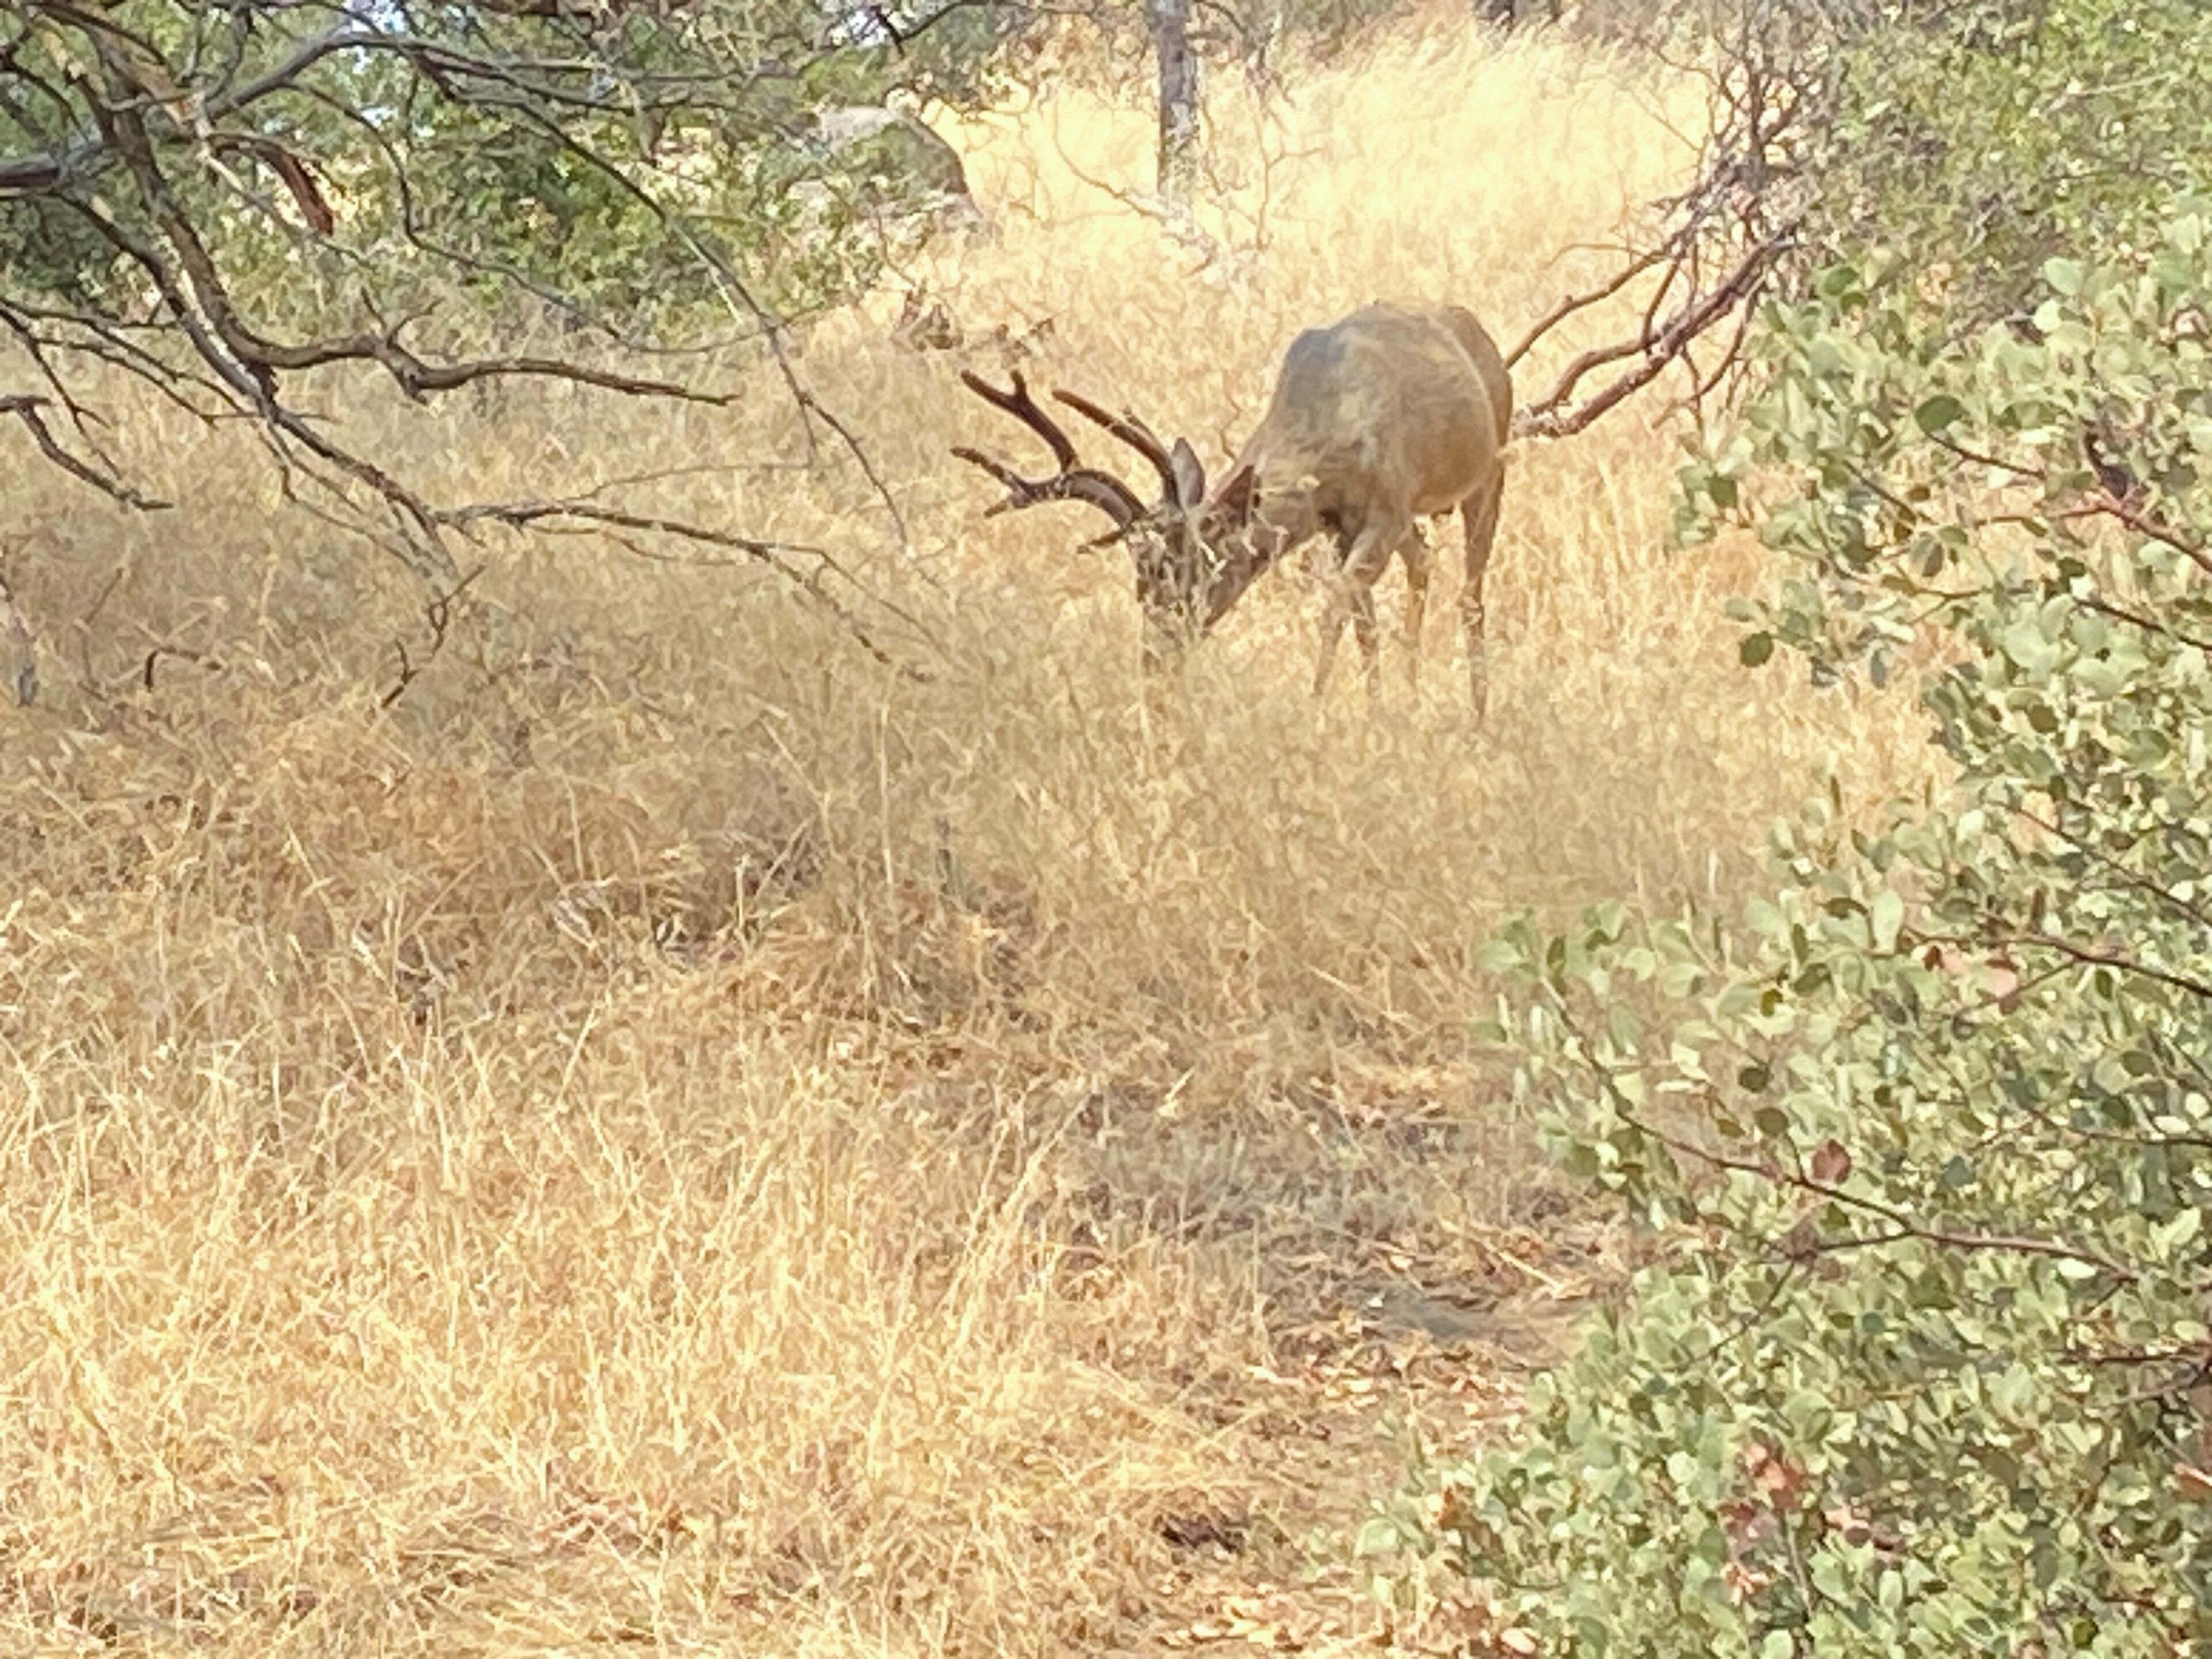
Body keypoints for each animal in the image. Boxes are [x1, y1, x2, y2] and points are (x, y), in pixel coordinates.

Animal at [953, 303, 1512, 714]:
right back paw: (1414, 698)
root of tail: (1479, 331)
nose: (1155, 661)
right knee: (1424, 559)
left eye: (1197, 572)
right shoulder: (1340, 524)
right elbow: (1362, 621)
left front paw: (1317, 710)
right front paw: (1376, 714)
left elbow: (1335, 607)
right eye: (1139, 584)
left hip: (1491, 465)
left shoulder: (1387, 508)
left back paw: (1478, 713)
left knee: (1471, 590)